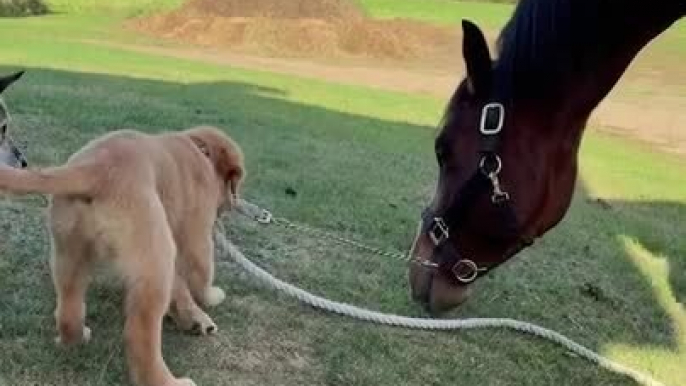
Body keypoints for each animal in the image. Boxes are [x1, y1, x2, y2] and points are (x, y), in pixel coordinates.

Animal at [0, 125, 245, 384]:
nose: (232, 203)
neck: (200, 150)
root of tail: (96, 168)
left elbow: (180, 286)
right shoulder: (195, 236)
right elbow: (200, 275)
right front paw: (211, 299)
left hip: (68, 249)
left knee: (68, 305)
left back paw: (75, 338)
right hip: (155, 256)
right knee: (139, 334)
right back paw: (167, 380)